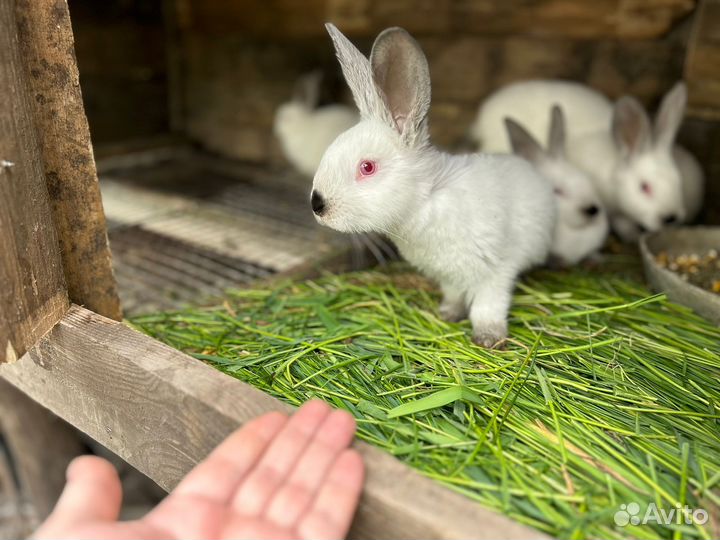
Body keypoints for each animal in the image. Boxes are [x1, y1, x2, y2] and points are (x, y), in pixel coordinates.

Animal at [310, 24, 556, 348]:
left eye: (367, 167)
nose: (317, 204)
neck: (426, 200)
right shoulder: (448, 276)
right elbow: (454, 296)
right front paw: (448, 314)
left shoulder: (496, 271)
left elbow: (487, 307)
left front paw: (488, 338)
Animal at [567, 82, 704, 241]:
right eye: (644, 187)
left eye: (678, 181)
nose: (670, 217)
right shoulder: (615, 213)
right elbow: (623, 225)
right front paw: (633, 236)